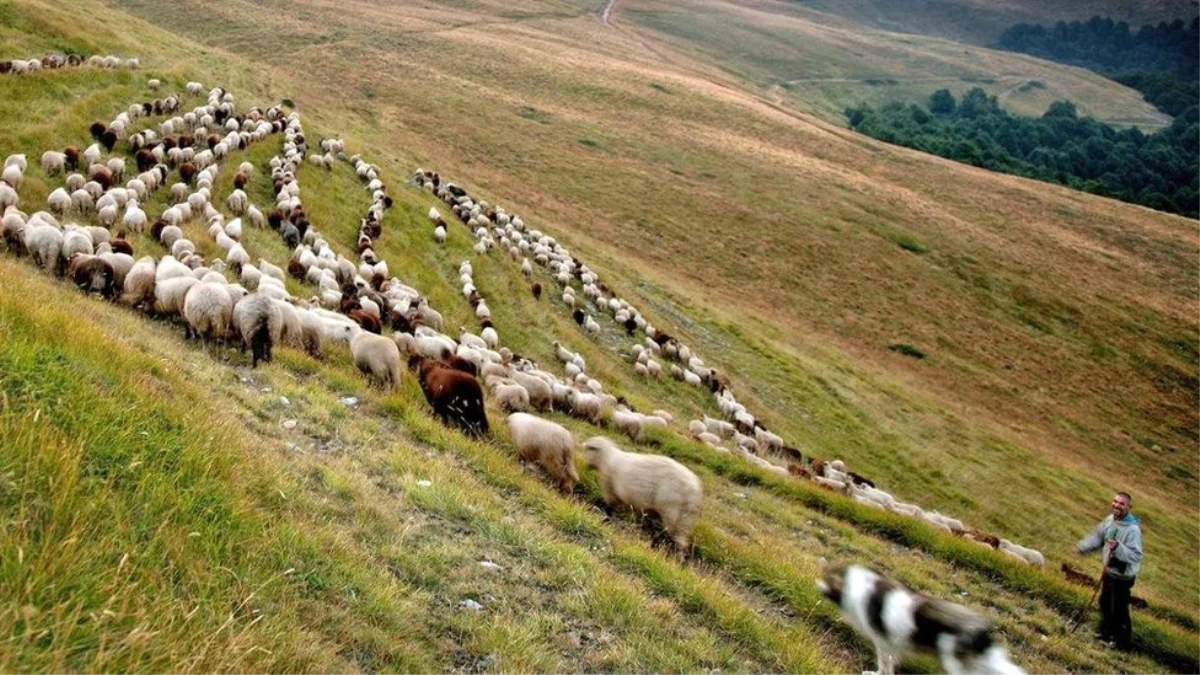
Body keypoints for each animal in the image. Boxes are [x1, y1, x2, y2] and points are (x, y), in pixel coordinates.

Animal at [820, 562, 1027, 672]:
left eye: (828, 578)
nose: (817, 583)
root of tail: (982, 631)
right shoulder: (891, 645)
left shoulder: (883, 641)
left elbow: (884, 664)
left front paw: (875, 673)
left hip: (954, 660)